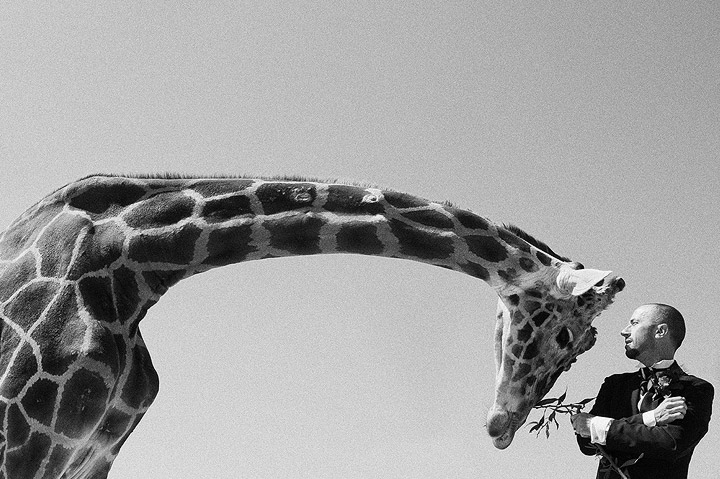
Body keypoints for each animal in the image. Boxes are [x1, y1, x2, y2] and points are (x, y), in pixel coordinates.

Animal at [0, 174, 624, 477]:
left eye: (582, 348)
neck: (131, 260)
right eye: (566, 337)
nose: (501, 427)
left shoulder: (91, 455)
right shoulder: (24, 437)